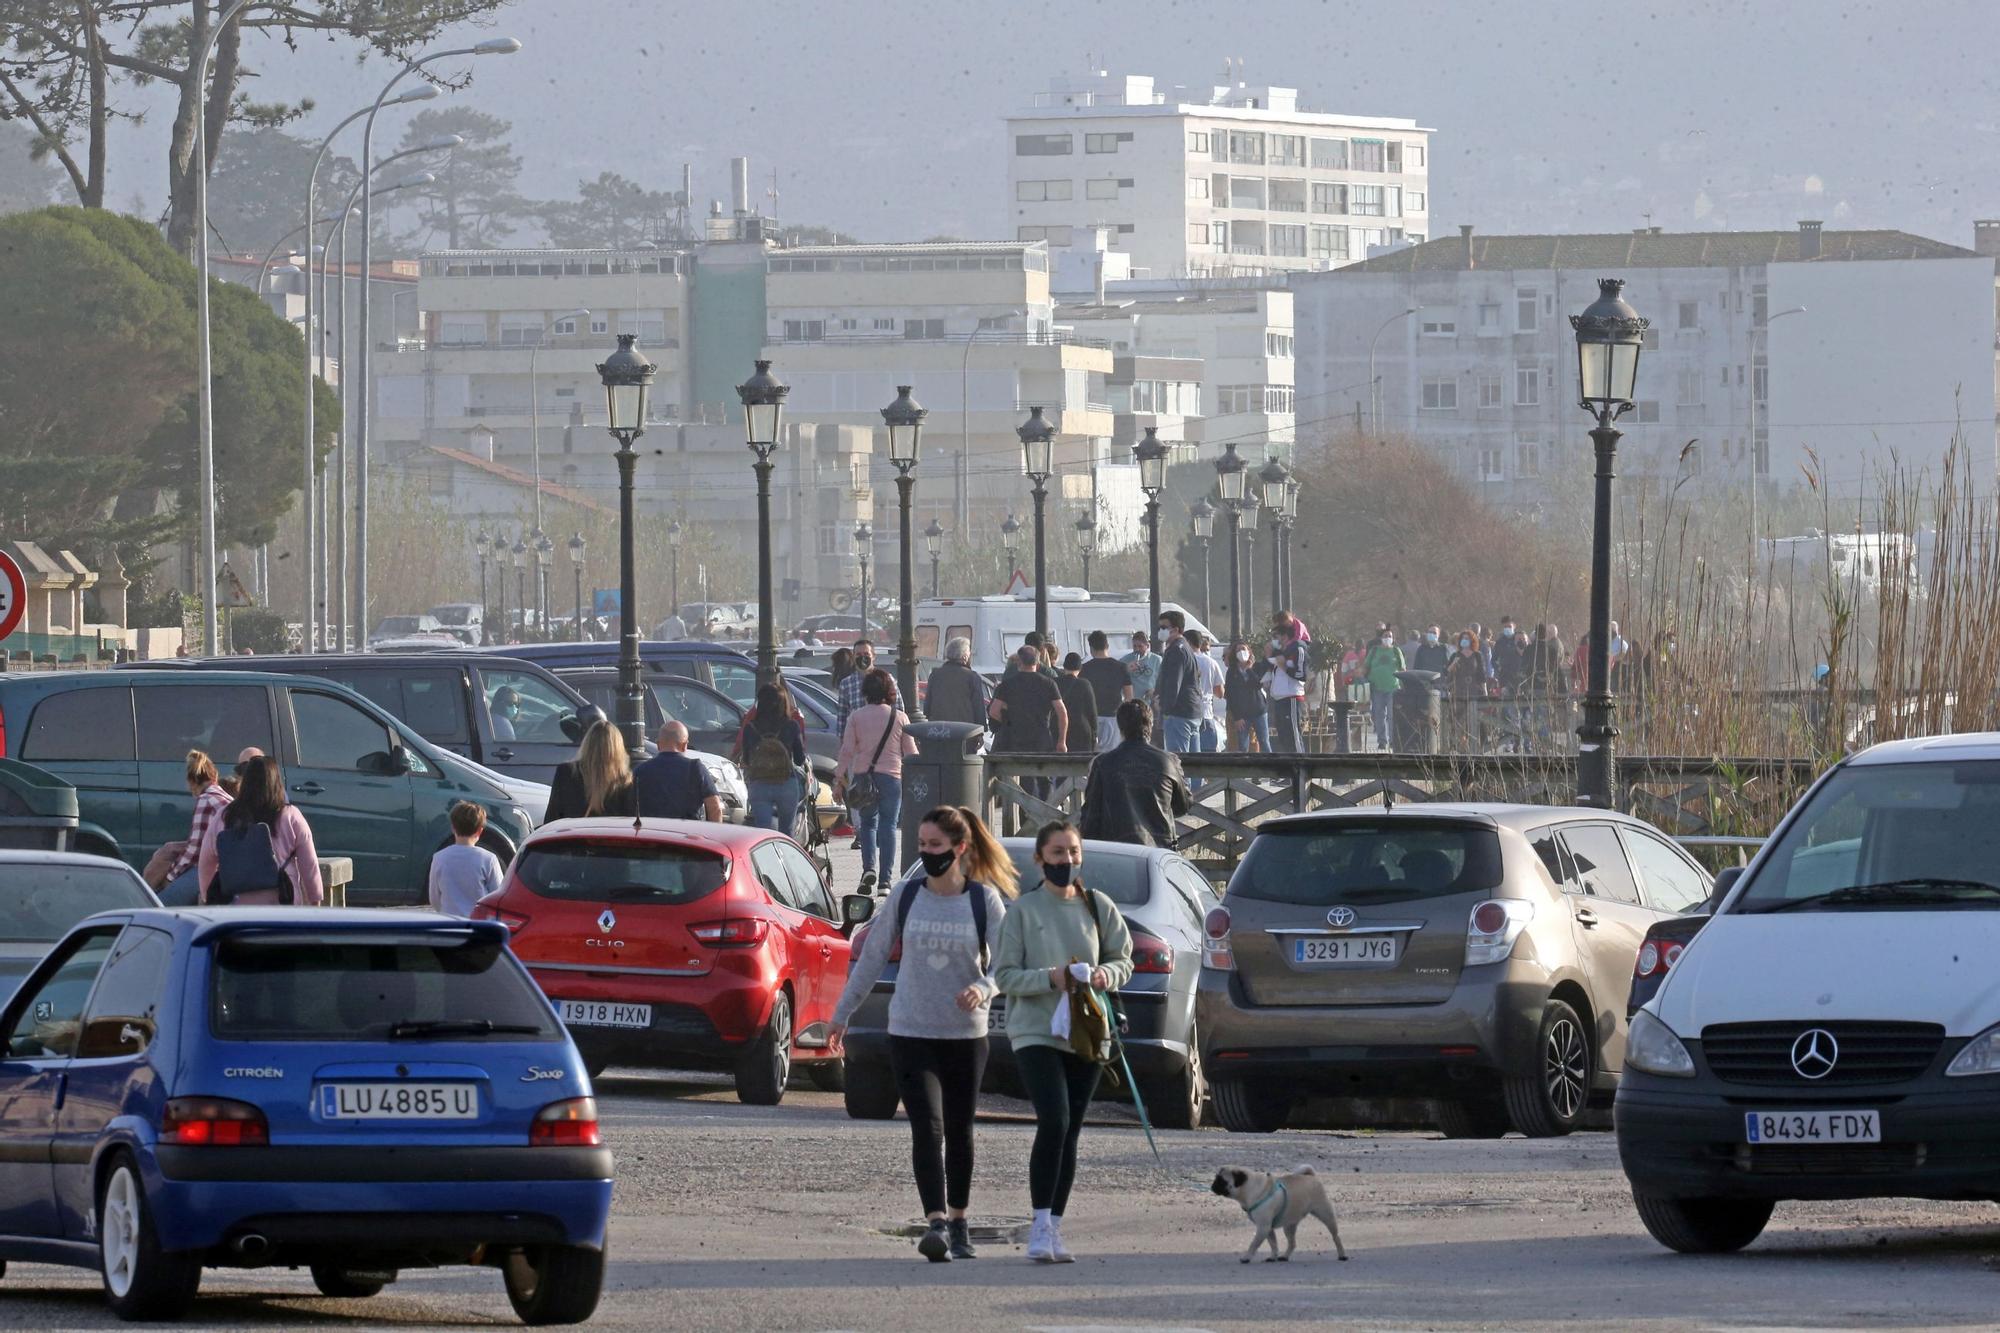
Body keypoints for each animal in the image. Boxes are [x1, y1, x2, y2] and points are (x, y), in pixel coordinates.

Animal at [1208, 1160, 1352, 1264]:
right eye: (1216, 1179)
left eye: (1222, 1181)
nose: (1212, 1186)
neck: (1249, 1189)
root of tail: (1311, 1176)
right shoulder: (1267, 1228)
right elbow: (1273, 1244)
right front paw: (1273, 1257)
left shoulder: (1263, 1227)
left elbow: (1253, 1244)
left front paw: (1246, 1257)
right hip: (1289, 1226)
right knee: (1292, 1243)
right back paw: (1285, 1256)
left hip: (1325, 1213)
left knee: (1336, 1236)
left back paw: (1342, 1255)